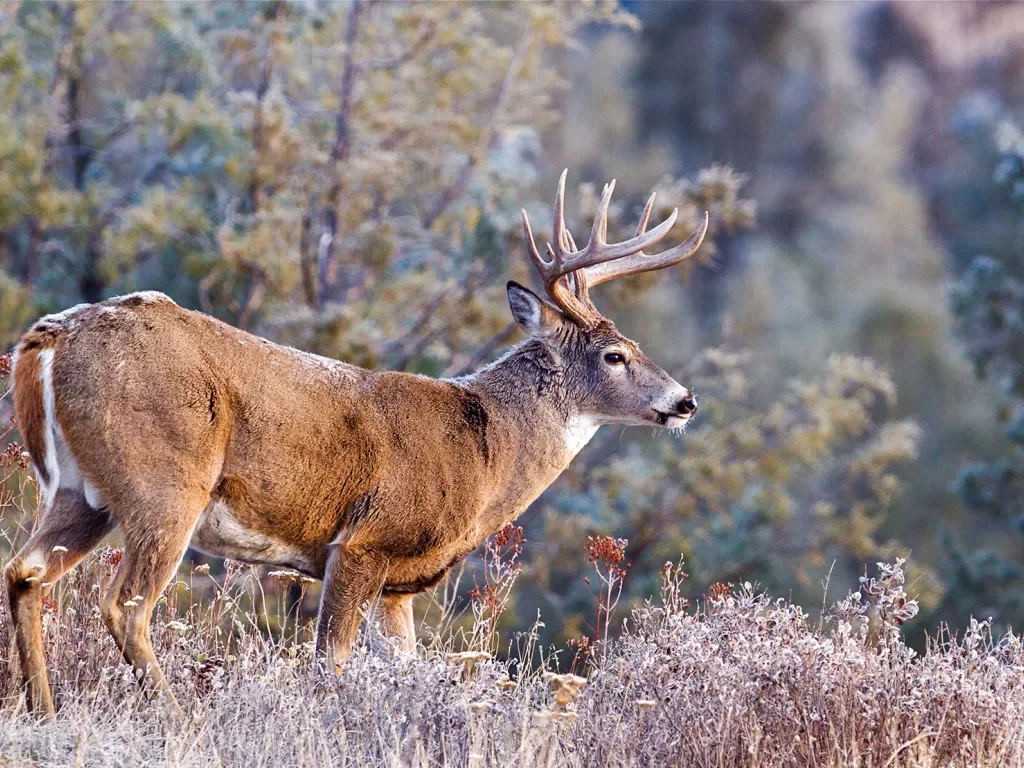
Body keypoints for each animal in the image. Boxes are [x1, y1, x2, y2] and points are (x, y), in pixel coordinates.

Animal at [2, 171, 704, 720]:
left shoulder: (399, 586)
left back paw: (44, 712)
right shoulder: (364, 542)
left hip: (79, 492)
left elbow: (403, 667)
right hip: (165, 482)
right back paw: (178, 723)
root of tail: (49, 338)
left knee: (25, 572)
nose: (685, 400)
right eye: (615, 355)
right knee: (124, 605)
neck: (485, 456)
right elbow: (329, 663)